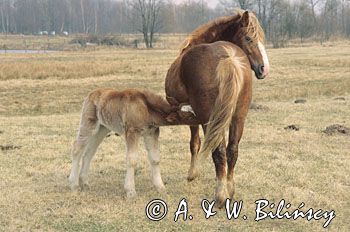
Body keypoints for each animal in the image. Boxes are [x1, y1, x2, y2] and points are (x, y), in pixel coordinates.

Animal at [165, 10, 270, 207]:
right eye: (249, 38)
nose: (264, 69)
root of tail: (228, 57)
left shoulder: (193, 118)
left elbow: (194, 143)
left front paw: (192, 174)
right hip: (238, 117)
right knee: (232, 150)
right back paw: (230, 189)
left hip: (210, 119)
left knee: (218, 151)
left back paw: (220, 195)